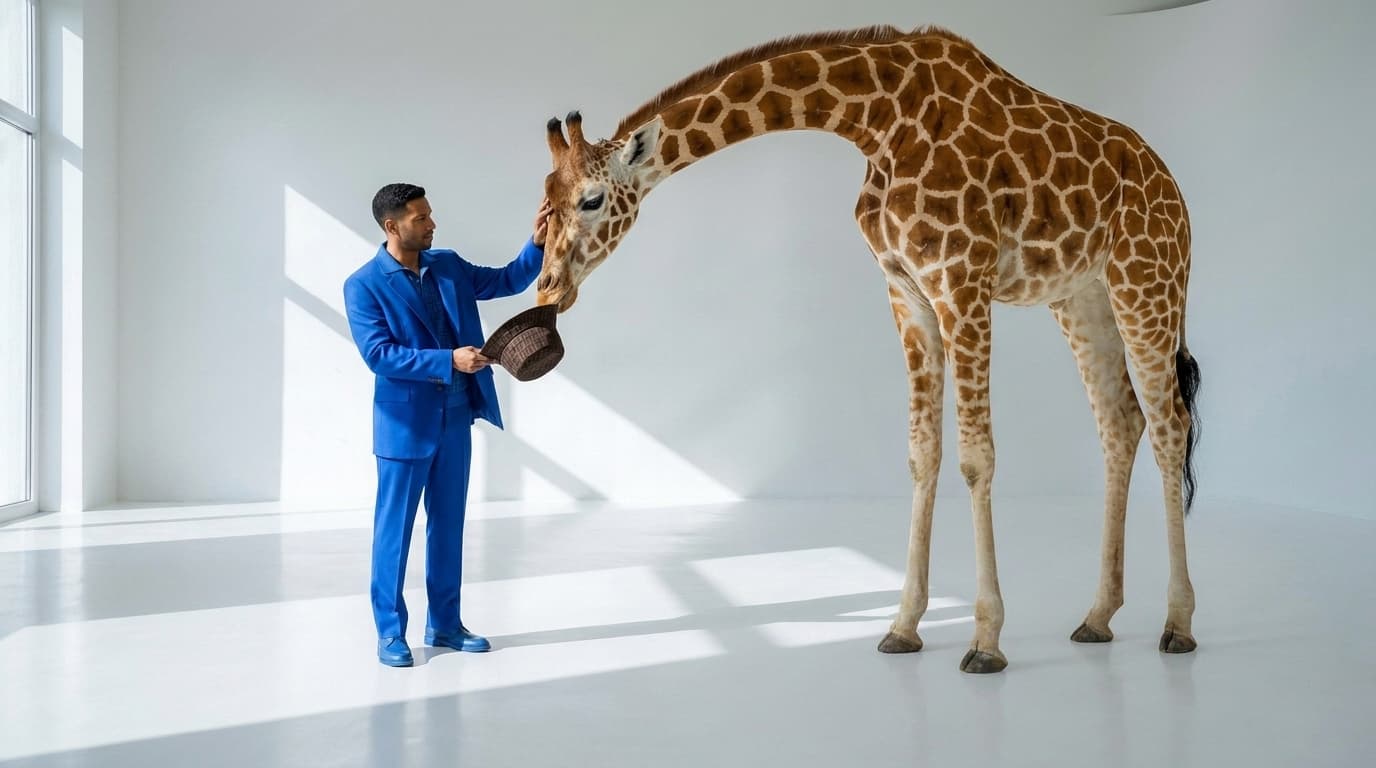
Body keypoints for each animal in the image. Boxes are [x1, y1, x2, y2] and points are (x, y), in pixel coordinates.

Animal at [534, 24, 1201, 673]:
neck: (876, 118)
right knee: (1121, 421)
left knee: (1170, 422)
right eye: (542, 207)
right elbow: (922, 453)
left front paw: (986, 641)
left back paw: (1178, 624)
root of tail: (1174, 188)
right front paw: (903, 627)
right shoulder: (906, 291)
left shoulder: (963, 282)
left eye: (591, 200)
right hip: (1083, 297)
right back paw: (1097, 616)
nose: (548, 286)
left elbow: (975, 457)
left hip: (1147, 280)